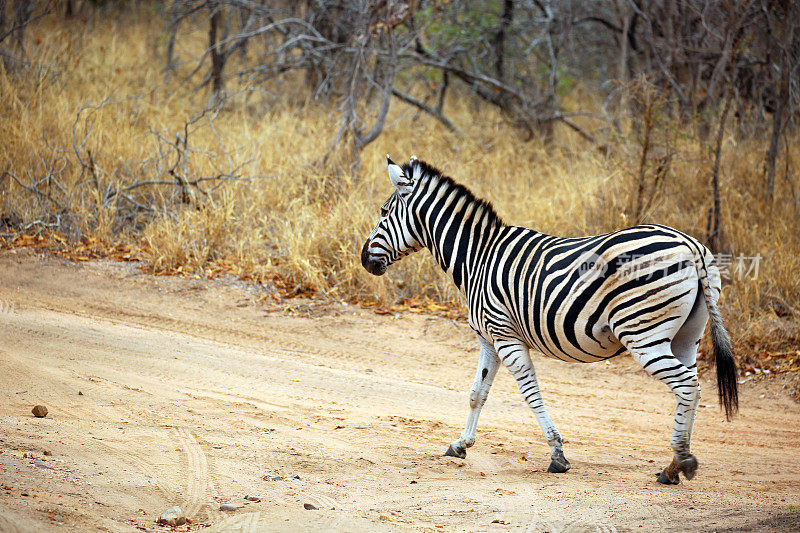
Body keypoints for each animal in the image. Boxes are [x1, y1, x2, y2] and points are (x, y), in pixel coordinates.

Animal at [362, 154, 736, 482]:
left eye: (383, 212)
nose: (365, 260)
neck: (477, 256)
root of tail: (690, 244)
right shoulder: (489, 339)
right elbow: (477, 393)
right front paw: (460, 444)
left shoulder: (504, 335)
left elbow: (531, 393)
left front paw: (557, 455)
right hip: (687, 336)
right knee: (692, 388)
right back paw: (673, 466)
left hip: (643, 333)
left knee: (686, 386)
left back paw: (681, 460)